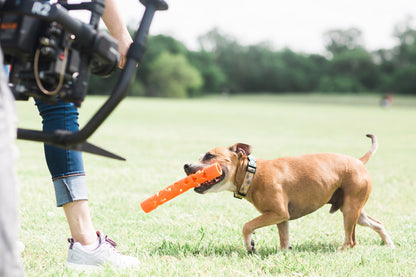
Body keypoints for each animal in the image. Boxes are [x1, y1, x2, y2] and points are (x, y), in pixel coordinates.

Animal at [184, 134, 394, 252]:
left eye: (209, 156)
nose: (186, 165)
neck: (252, 173)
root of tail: (359, 161)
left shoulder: (277, 213)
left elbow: (247, 226)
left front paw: (250, 245)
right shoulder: (281, 218)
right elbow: (284, 239)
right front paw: (284, 253)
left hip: (350, 211)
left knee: (351, 240)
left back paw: (340, 251)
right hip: (355, 211)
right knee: (377, 224)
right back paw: (389, 244)